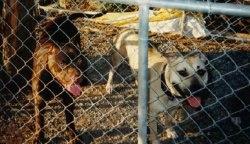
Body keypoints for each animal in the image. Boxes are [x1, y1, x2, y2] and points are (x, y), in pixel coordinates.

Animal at [32, 14, 88, 144]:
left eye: (79, 61)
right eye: (62, 63)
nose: (78, 77)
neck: (54, 83)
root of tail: (63, 16)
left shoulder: (69, 100)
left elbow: (70, 119)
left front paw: (73, 136)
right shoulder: (39, 100)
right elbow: (39, 121)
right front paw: (39, 137)